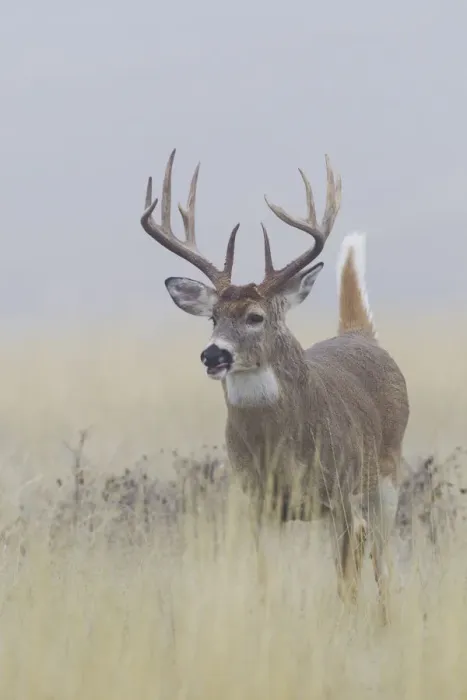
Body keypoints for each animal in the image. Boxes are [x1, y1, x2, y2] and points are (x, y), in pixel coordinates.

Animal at [140, 149, 409, 623]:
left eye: (255, 317)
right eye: (213, 317)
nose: (213, 355)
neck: (280, 448)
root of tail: (361, 335)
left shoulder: (339, 490)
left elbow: (347, 580)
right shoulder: (257, 501)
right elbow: (264, 578)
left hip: (386, 473)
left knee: (380, 558)